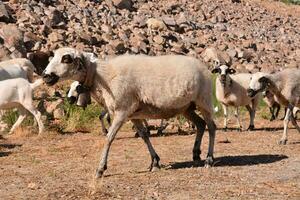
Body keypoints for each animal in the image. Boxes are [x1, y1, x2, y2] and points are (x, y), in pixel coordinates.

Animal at [42, 47, 216, 178]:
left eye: (66, 58)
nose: (45, 76)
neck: (102, 77)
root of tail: (204, 67)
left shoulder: (122, 111)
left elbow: (109, 138)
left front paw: (100, 169)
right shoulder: (133, 114)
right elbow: (144, 136)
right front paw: (155, 162)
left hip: (204, 100)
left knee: (211, 127)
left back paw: (209, 159)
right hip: (187, 107)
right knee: (201, 125)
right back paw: (196, 155)